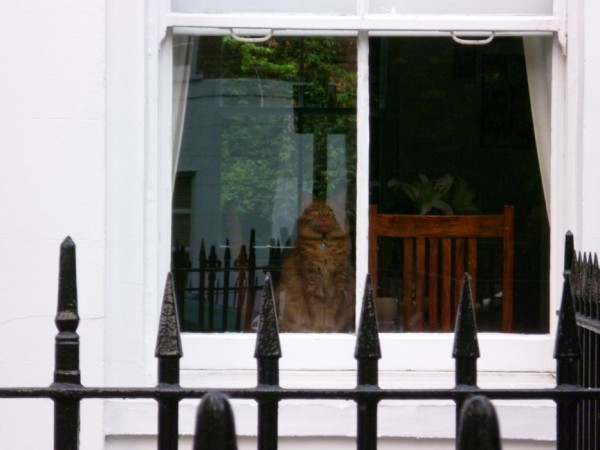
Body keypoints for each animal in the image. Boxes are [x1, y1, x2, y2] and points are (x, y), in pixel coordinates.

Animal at [276, 198, 355, 332]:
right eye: (316, 211)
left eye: (330, 211)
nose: (323, 218)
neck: (324, 245)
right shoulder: (312, 280)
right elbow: (317, 309)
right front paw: (319, 328)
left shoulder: (338, 282)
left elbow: (331, 310)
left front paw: (328, 328)